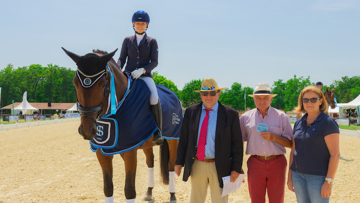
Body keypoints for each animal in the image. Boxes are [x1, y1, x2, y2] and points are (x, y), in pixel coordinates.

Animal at [62, 48, 180, 203]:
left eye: (103, 84)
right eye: (75, 83)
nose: (87, 131)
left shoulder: (130, 153)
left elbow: (129, 191)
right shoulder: (102, 153)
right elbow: (108, 188)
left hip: (173, 139)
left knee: (171, 165)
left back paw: (172, 195)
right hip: (147, 142)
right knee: (150, 162)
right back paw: (149, 192)